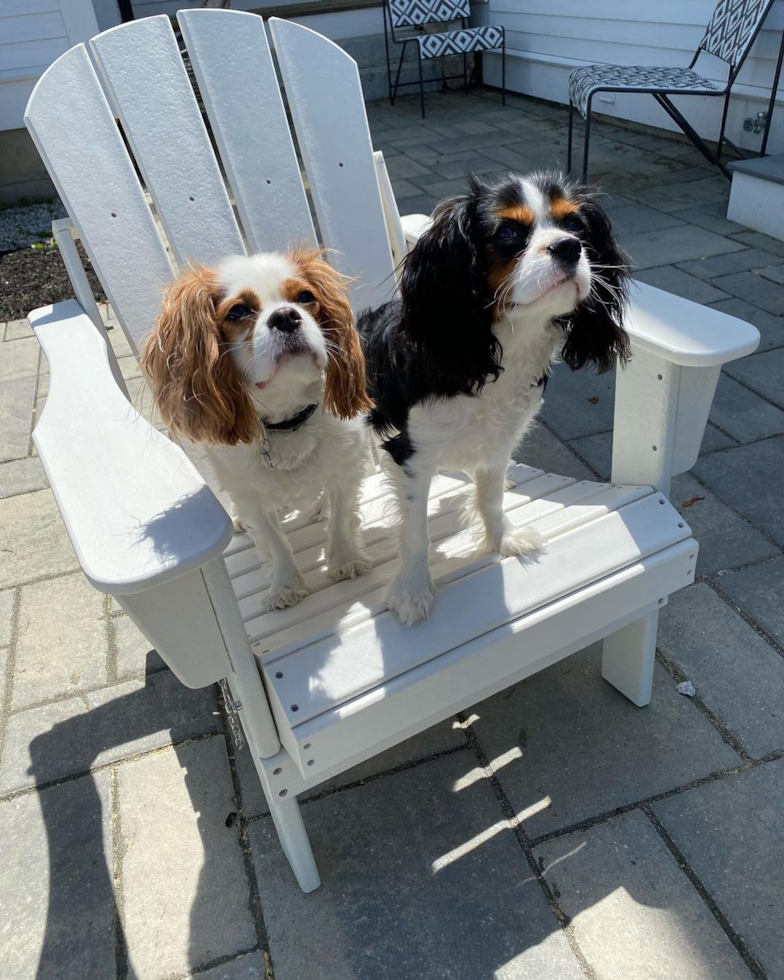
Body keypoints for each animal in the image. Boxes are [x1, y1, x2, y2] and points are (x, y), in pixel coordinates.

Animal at [145, 249, 376, 608]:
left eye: (305, 297)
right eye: (238, 311)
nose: (286, 316)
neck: (287, 420)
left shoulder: (346, 467)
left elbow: (340, 516)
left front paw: (345, 559)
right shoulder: (249, 493)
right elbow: (274, 540)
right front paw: (285, 585)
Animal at [358, 171, 628, 624]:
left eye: (574, 225)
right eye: (507, 233)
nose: (568, 247)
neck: (501, 345)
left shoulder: (499, 442)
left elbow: (491, 497)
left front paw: (503, 539)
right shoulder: (411, 454)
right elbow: (415, 531)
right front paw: (413, 589)